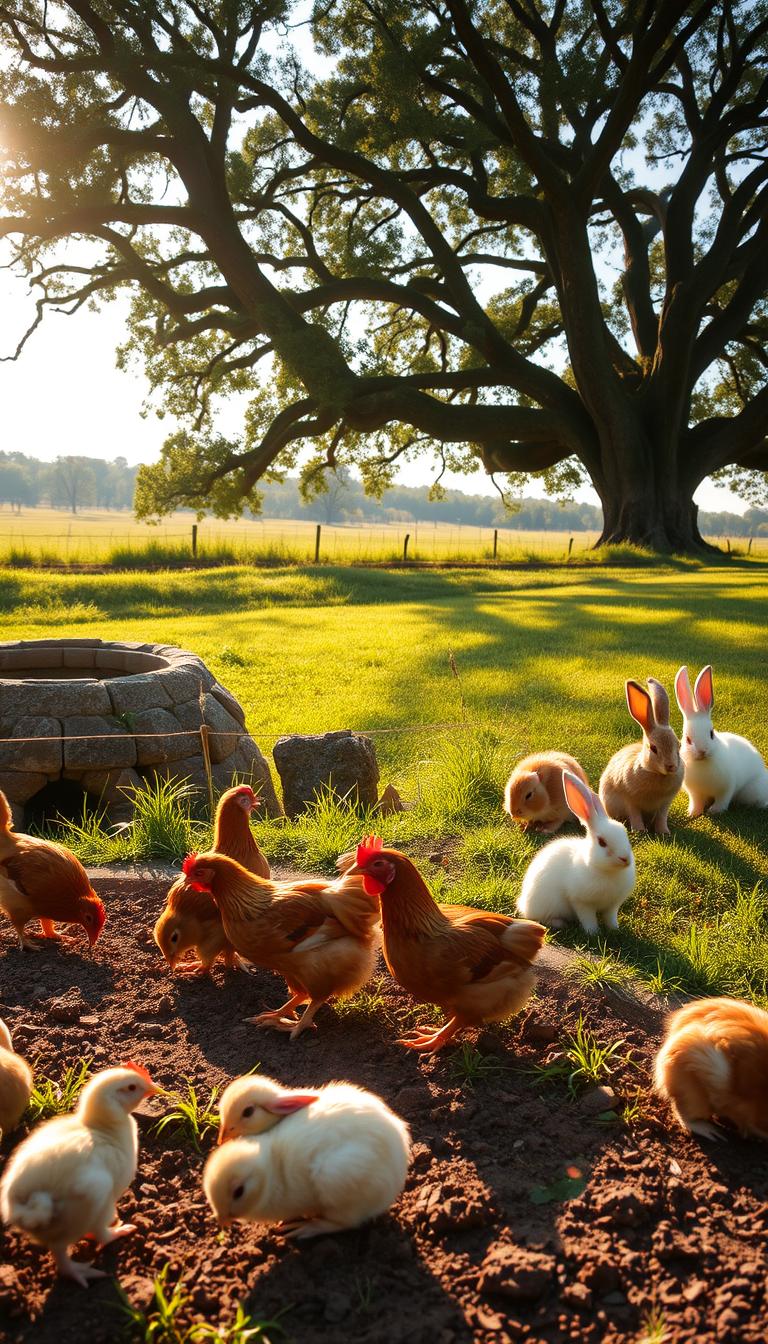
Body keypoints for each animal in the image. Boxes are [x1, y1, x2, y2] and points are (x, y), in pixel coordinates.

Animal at [203, 1078, 411, 1239]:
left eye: (238, 1192)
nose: (222, 1221)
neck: (272, 1169)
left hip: (336, 1181)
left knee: (345, 1222)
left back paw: (304, 1228)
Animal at [516, 771, 635, 934]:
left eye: (625, 834)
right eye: (602, 842)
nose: (625, 859)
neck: (608, 872)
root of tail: (523, 902)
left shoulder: (612, 906)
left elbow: (610, 918)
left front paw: (615, 930)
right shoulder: (581, 903)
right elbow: (588, 919)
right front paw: (593, 933)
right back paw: (560, 923)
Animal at [599, 678, 683, 833]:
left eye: (679, 745)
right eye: (653, 748)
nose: (671, 766)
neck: (656, 773)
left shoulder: (664, 804)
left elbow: (661, 818)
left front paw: (664, 832)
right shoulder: (630, 801)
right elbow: (635, 815)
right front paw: (640, 831)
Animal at [674, 665, 768, 817]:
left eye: (711, 734)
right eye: (687, 739)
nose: (702, 751)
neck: (703, 763)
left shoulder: (726, 788)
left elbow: (722, 800)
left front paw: (715, 811)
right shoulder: (695, 793)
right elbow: (696, 802)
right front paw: (693, 813)